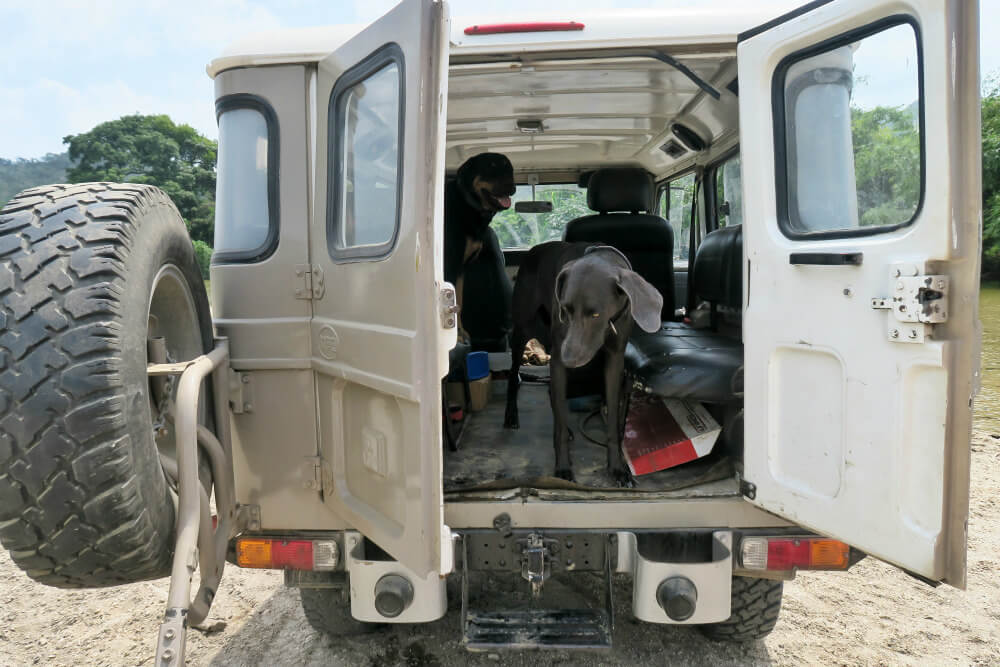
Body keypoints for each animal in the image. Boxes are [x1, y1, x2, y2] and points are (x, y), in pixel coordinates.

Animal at [444, 153, 516, 348]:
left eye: (509, 169)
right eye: (491, 167)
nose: (513, 187)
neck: (467, 203)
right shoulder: (451, 263)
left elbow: (459, 301)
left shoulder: (461, 269)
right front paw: (457, 336)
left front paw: (461, 333)